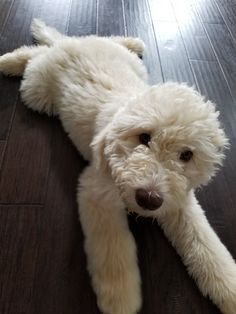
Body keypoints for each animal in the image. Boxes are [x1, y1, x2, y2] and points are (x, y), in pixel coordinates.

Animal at [0, 19, 236, 314]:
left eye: (186, 155)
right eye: (144, 137)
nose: (149, 199)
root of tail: (69, 44)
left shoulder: (179, 201)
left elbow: (205, 244)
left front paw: (228, 286)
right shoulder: (97, 192)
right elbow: (112, 250)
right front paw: (120, 299)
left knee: (100, 38)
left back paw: (132, 42)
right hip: (37, 90)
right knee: (35, 55)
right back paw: (9, 61)